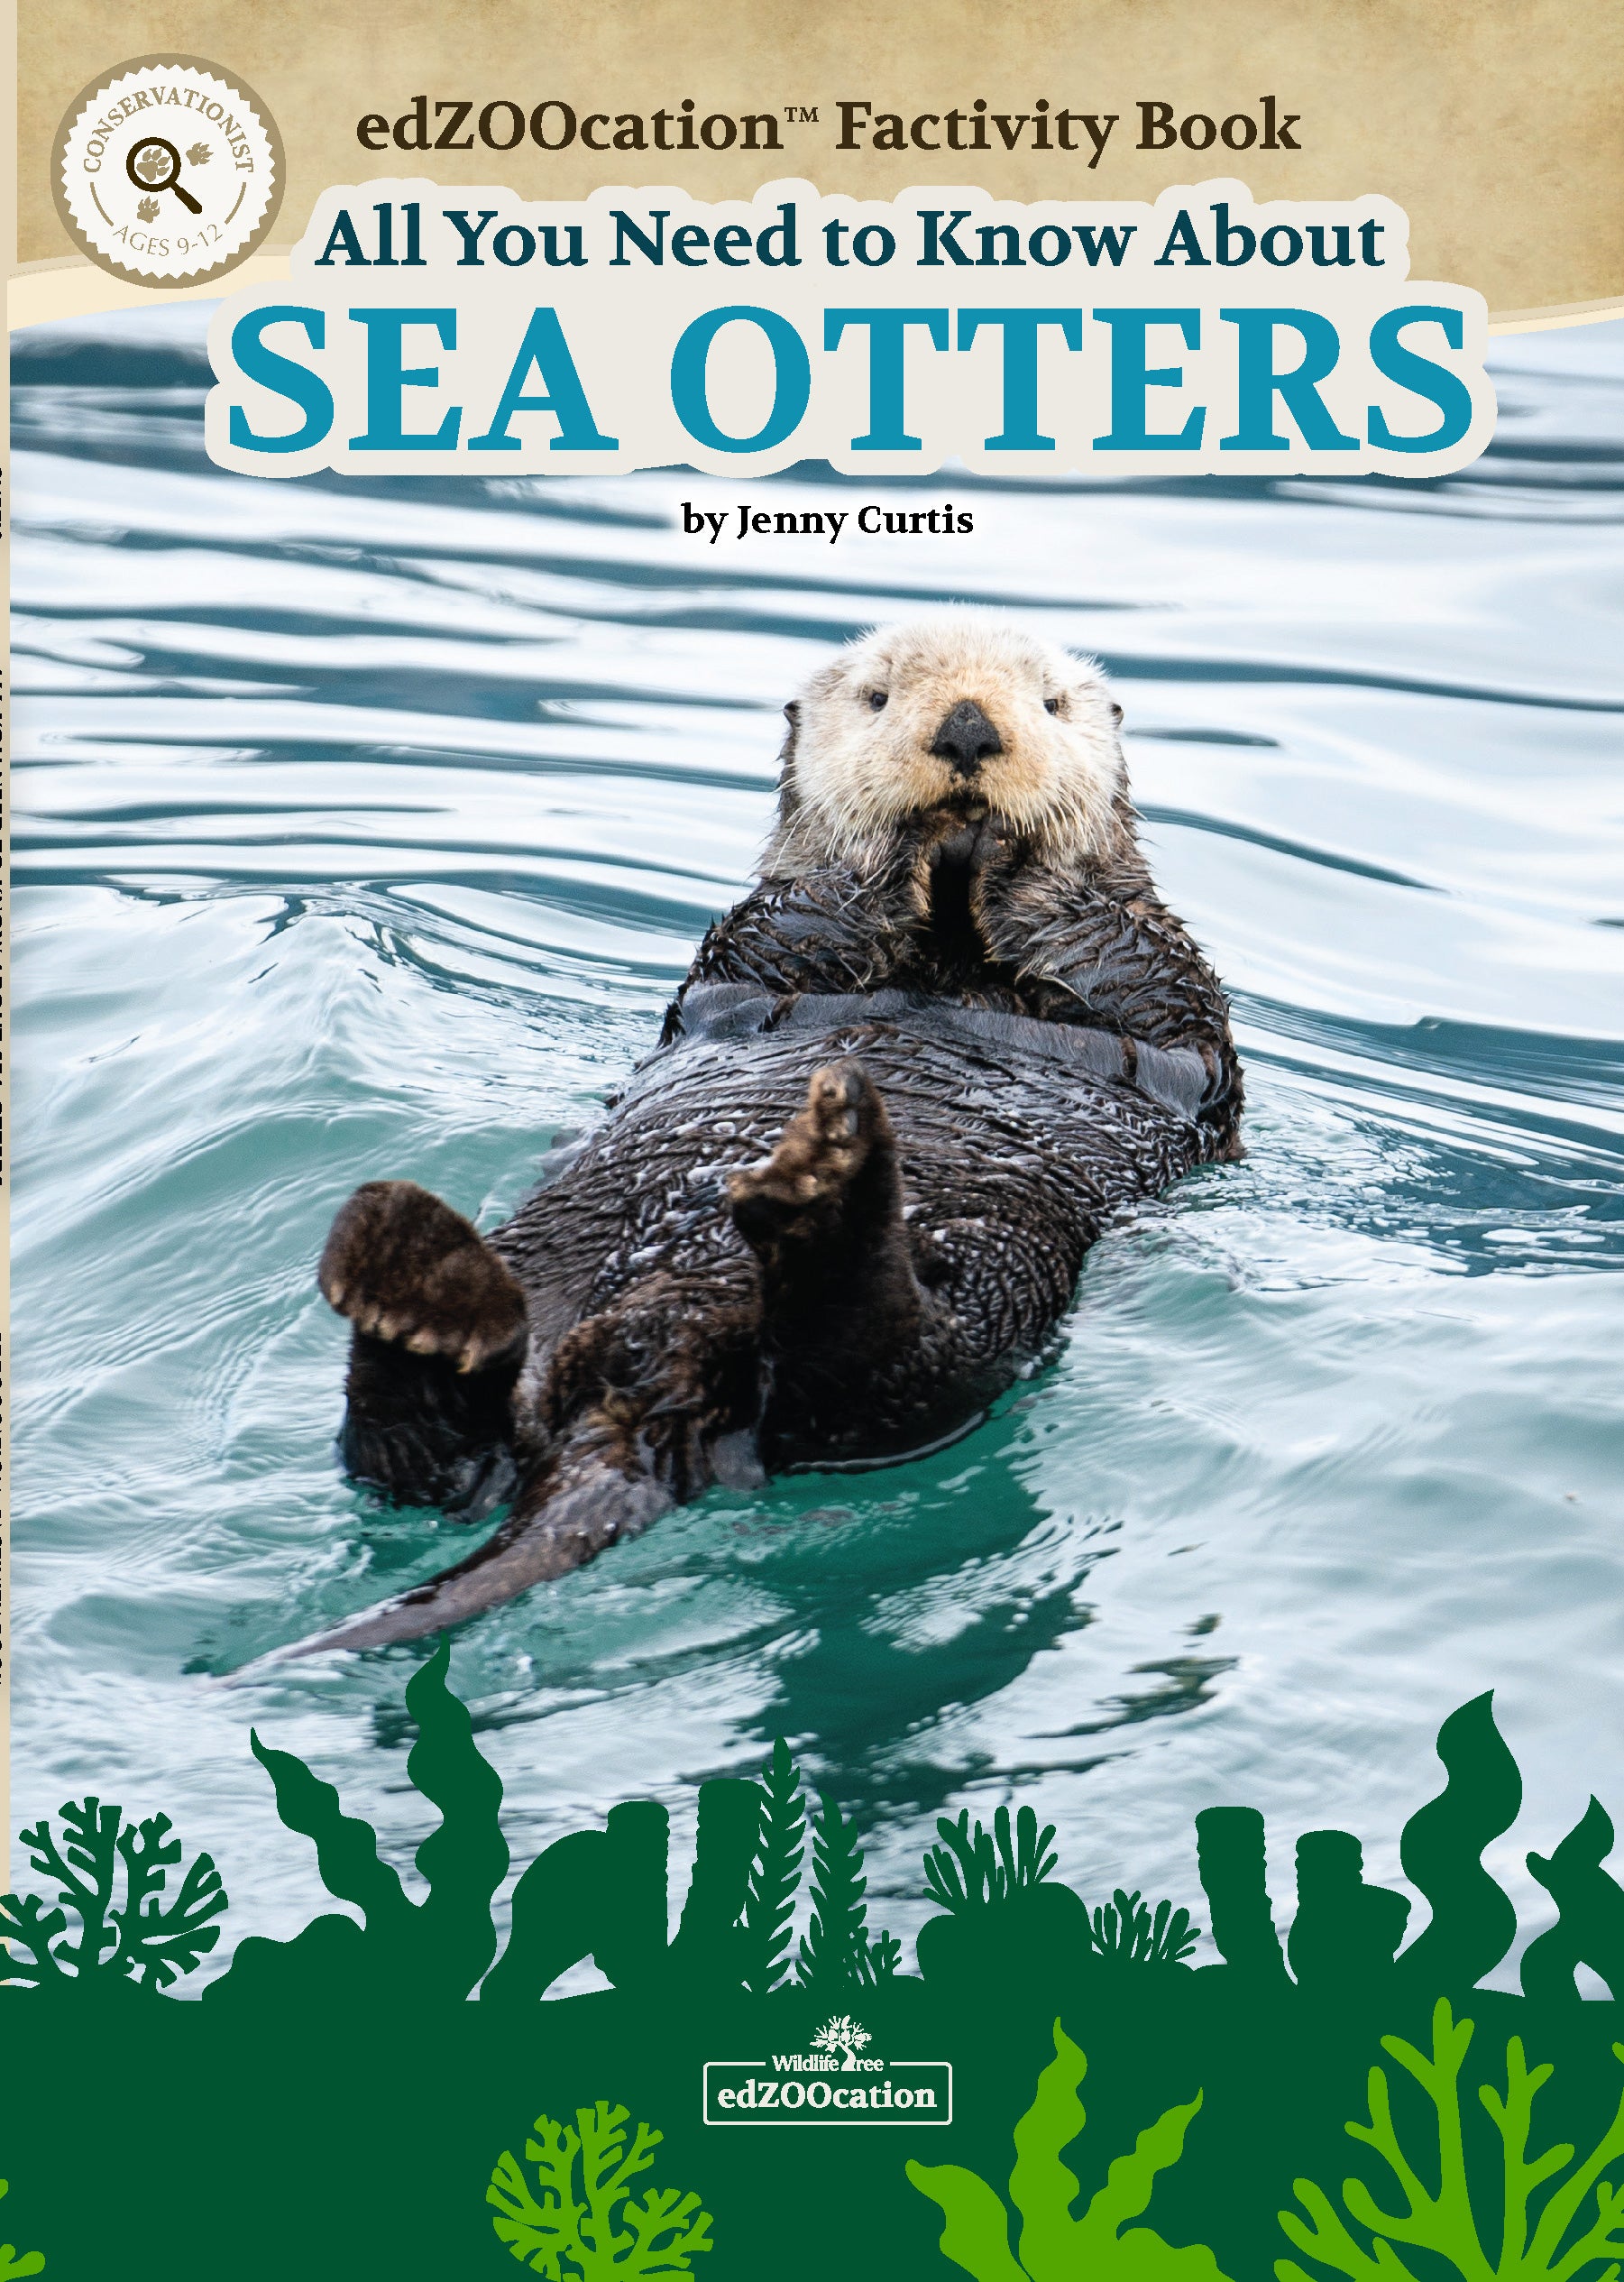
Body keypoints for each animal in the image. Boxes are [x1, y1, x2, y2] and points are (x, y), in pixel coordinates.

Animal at [285, 612, 1242, 1661]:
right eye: (875, 696)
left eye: (1051, 703)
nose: (966, 731)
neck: (948, 948)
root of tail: (651, 1369)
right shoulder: (757, 956)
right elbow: (806, 922)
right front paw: (909, 855)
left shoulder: (1165, 997)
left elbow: (1113, 967)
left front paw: (1009, 861)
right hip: (547, 1274)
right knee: (424, 1458)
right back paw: (414, 1282)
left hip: (983, 1299)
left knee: (873, 1373)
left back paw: (818, 1189)